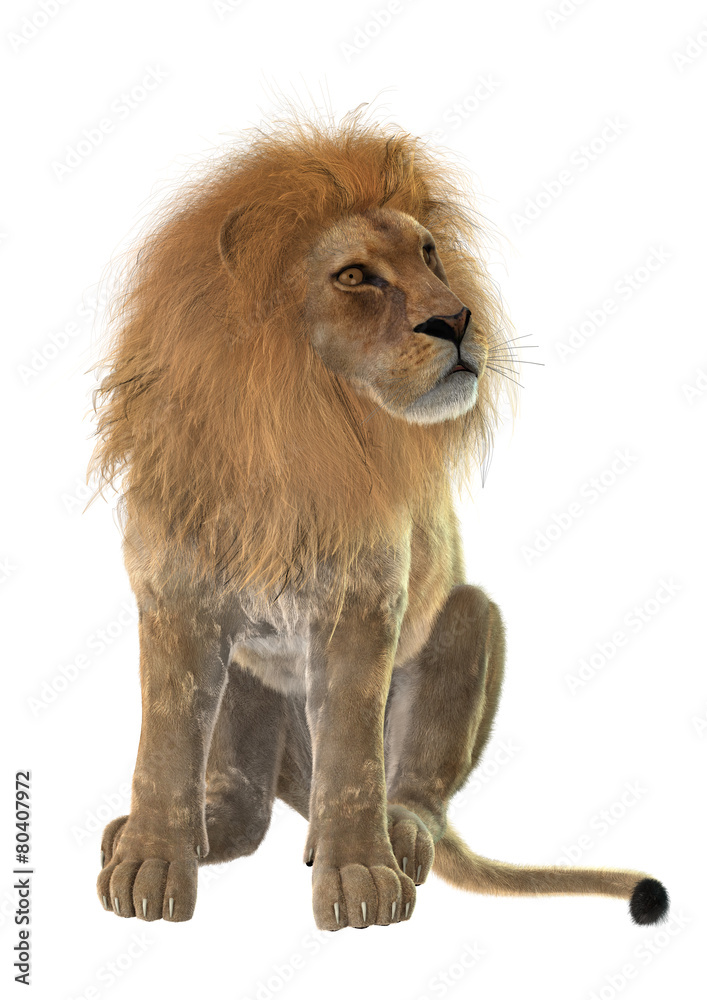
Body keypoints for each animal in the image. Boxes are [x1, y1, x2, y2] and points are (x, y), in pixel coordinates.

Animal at [89, 107, 668, 929]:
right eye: (356, 276)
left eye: (429, 255)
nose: (456, 319)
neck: (295, 430)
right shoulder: (177, 600)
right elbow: (164, 746)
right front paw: (148, 863)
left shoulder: (362, 603)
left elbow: (354, 757)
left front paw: (361, 875)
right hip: (248, 689)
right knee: (247, 806)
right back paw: (186, 833)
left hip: (470, 616)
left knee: (414, 787)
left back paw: (401, 837)